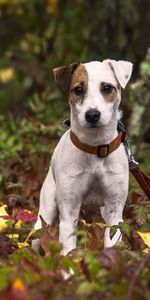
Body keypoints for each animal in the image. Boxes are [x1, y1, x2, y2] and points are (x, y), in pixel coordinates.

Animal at [33, 59, 132, 255]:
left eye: (107, 88)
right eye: (78, 89)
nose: (92, 114)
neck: (96, 148)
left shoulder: (114, 211)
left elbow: (112, 240)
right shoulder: (69, 211)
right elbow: (68, 249)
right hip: (45, 212)